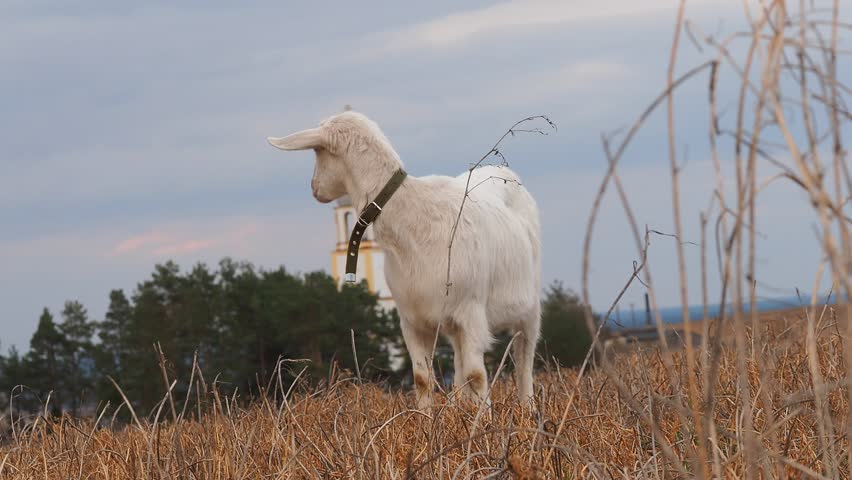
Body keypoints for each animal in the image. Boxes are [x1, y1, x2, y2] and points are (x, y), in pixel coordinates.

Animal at [267, 110, 541, 408]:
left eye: (317, 151)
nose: (314, 188)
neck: (412, 215)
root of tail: (503, 171)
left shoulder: (471, 312)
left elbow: (477, 375)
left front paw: (483, 420)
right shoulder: (411, 318)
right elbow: (422, 379)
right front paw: (427, 419)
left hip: (529, 307)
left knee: (524, 361)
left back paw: (527, 410)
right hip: (452, 325)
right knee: (459, 368)